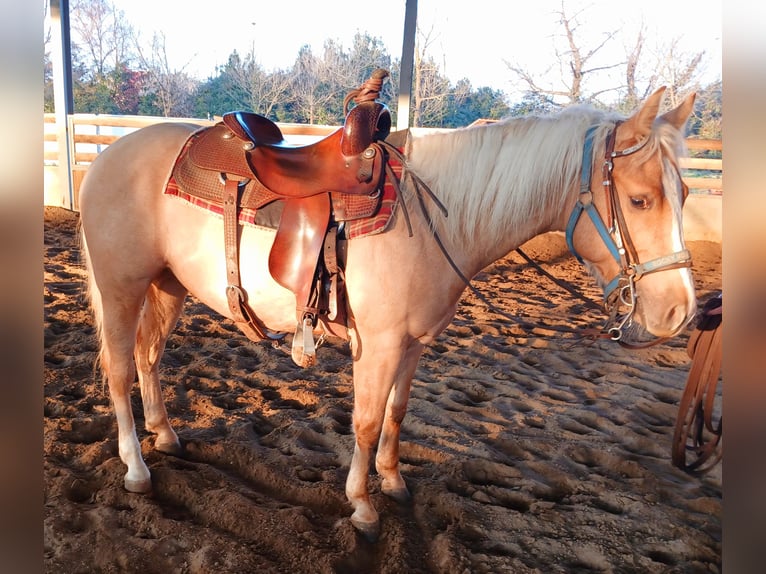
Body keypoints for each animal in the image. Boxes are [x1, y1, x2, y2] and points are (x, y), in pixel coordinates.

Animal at [78, 86, 697, 540]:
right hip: (121, 289)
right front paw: (362, 507)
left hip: (167, 287)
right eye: (639, 200)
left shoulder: (414, 343)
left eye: (685, 195)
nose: (679, 312)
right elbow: (367, 421)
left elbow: (397, 414)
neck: (436, 219)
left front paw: (393, 482)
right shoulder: (377, 344)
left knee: (148, 359)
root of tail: (108, 155)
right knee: (120, 370)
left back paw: (165, 434)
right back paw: (136, 466)